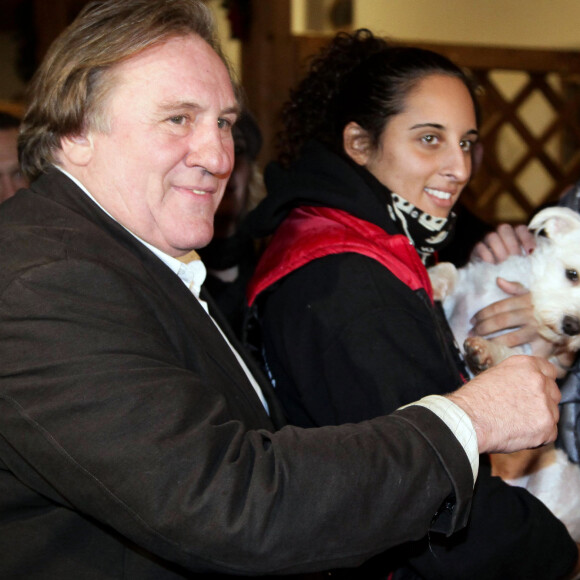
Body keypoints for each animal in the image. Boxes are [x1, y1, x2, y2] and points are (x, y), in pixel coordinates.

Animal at [428, 207, 580, 544]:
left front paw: (483, 351)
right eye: (572, 274)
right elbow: (451, 270)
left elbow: (505, 354)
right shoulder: (469, 284)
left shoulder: (529, 354)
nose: (573, 326)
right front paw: (431, 278)